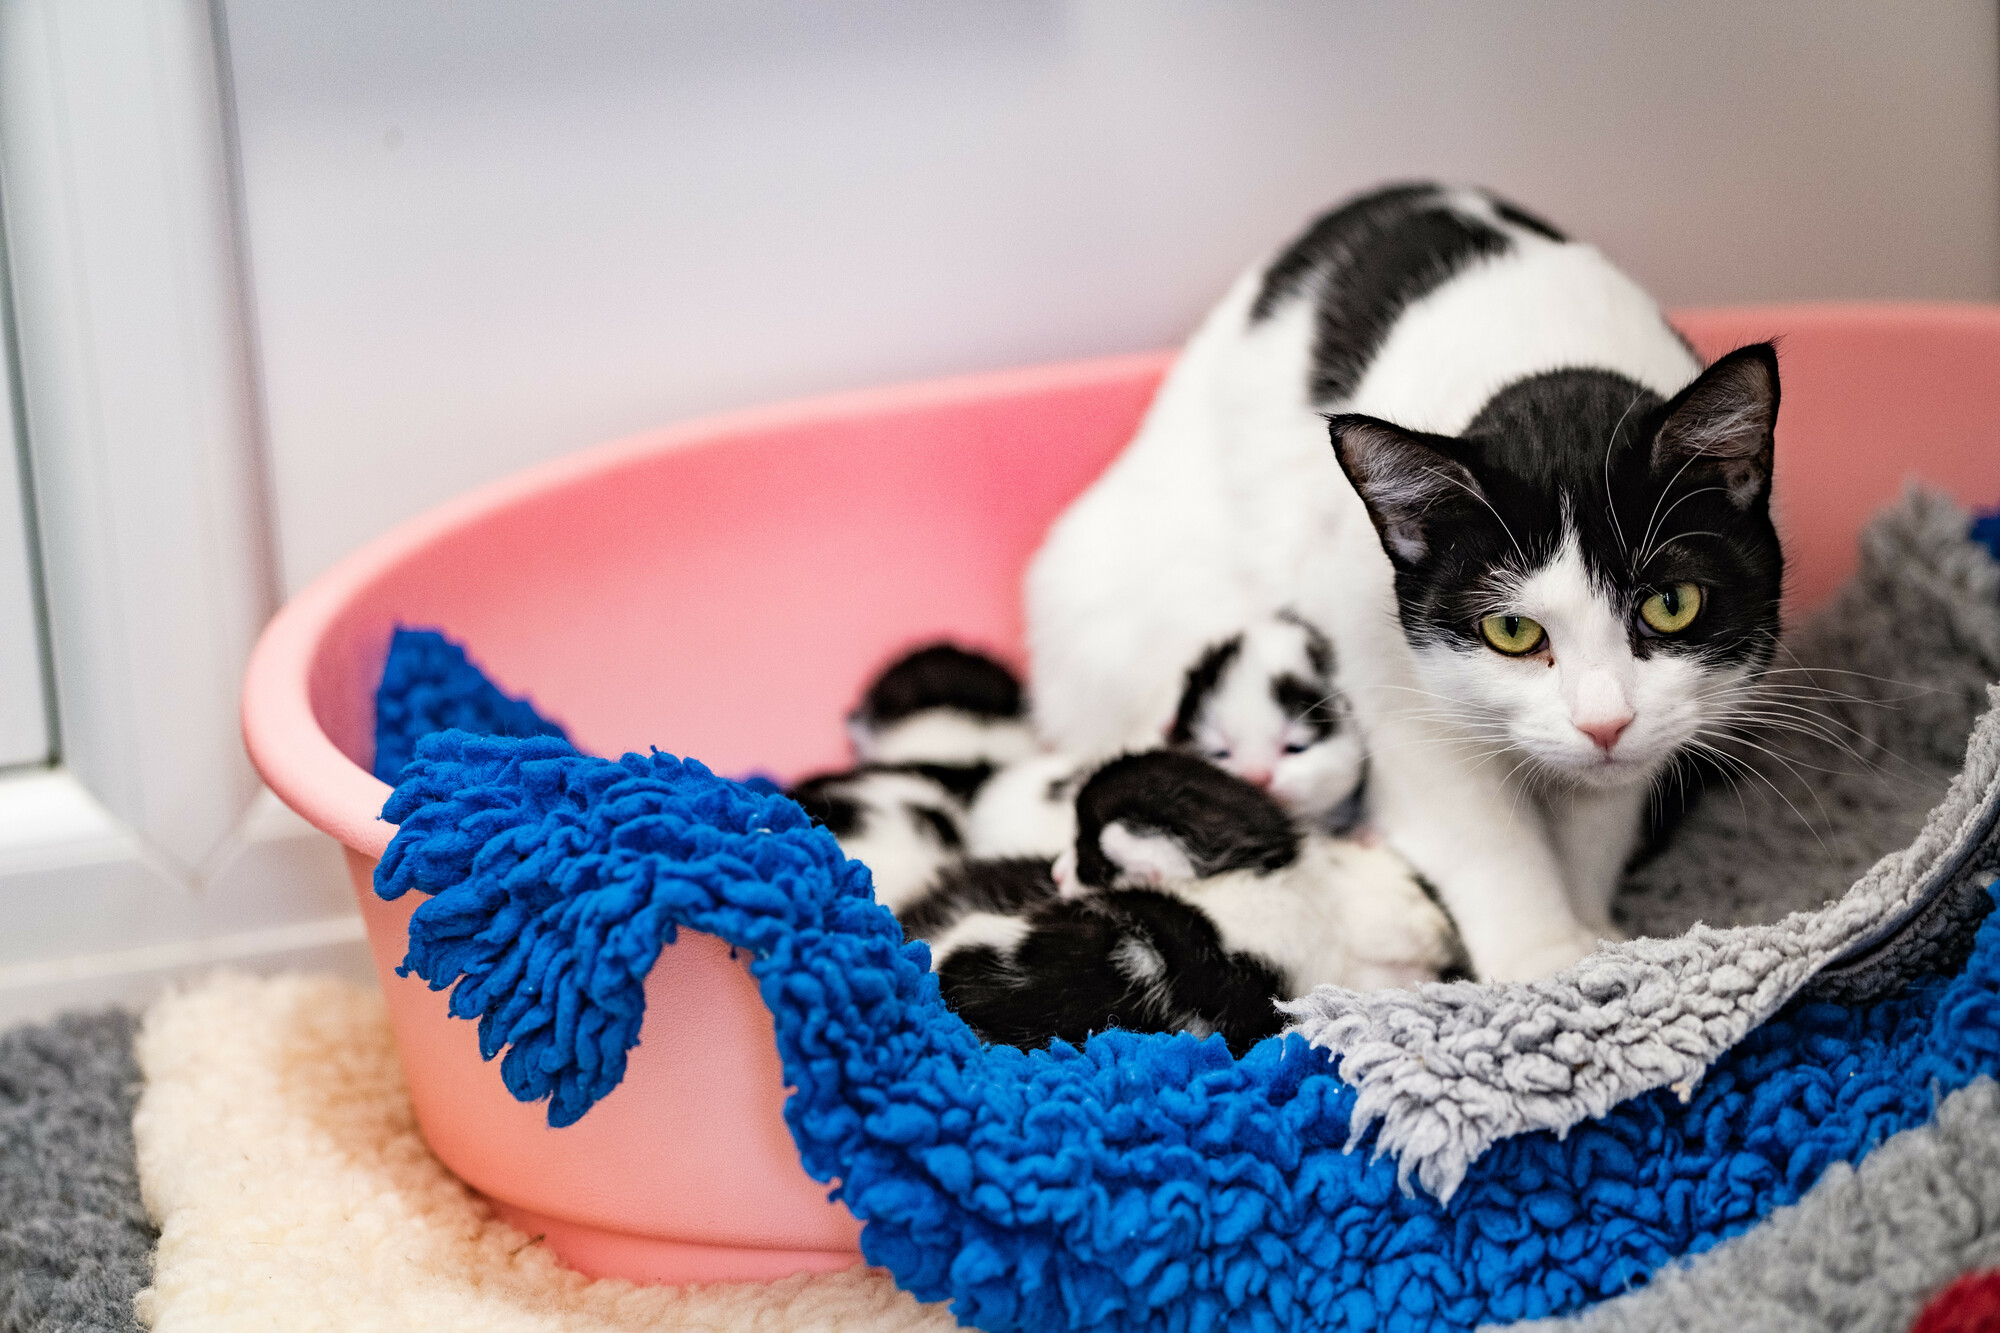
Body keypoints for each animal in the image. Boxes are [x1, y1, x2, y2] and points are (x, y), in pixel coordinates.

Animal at [1032, 182, 1784, 980]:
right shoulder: (1389, 676)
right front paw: (1545, 961)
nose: (1604, 722)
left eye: (1671, 604)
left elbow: (1597, 814)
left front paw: (1593, 933)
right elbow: (1480, 830)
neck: (1539, 356)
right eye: (1511, 629)